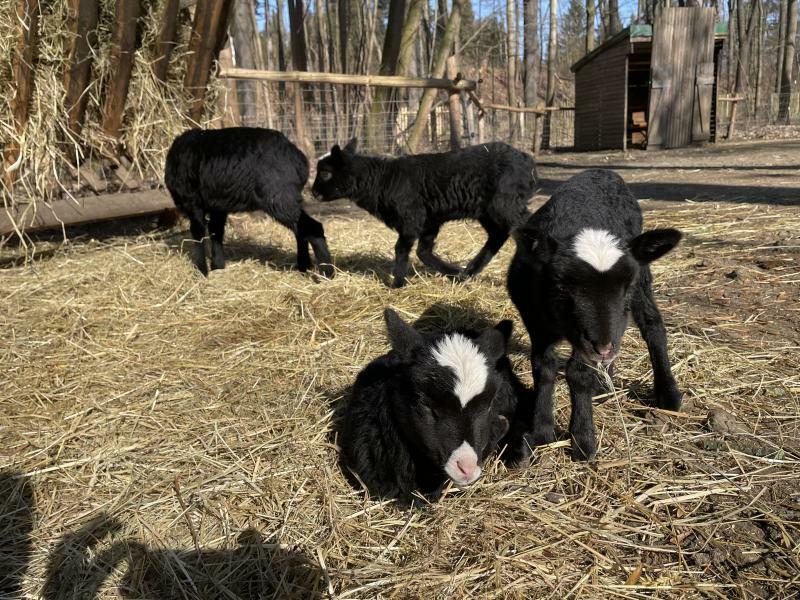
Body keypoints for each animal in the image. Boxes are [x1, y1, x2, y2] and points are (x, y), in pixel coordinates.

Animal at [164, 127, 332, 278]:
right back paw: (304, 266)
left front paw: (201, 271)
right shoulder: (218, 205)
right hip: (287, 199)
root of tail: (300, 161)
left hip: (279, 198)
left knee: (313, 228)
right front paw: (218, 266)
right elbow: (216, 230)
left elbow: (198, 233)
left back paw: (327, 273)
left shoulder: (192, 202)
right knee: (301, 231)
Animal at [310, 139, 536, 288]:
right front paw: (454, 272)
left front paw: (397, 283)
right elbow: (423, 252)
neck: (381, 180)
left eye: (325, 173)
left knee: (526, 226)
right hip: (488, 211)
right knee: (498, 235)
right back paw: (470, 271)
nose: (313, 192)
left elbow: (402, 249)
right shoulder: (429, 220)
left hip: (504, 204)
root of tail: (526, 160)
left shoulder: (411, 217)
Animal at [506, 169, 680, 460]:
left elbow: (578, 373)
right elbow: (544, 367)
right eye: (561, 285)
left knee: (652, 325)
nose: (603, 347)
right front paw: (541, 432)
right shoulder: (536, 320)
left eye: (627, 285)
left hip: (642, 281)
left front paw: (583, 441)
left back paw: (668, 394)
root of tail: (602, 171)